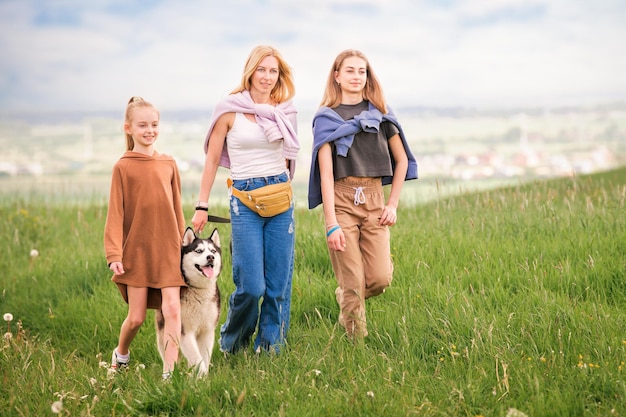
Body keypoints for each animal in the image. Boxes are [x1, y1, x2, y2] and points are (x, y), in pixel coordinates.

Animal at [156, 226, 222, 376]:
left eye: (213, 251)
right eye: (199, 251)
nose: (210, 257)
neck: (199, 289)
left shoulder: (207, 331)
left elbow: (204, 357)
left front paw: (202, 376)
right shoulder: (185, 332)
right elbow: (197, 358)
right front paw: (201, 375)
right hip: (164, 330)